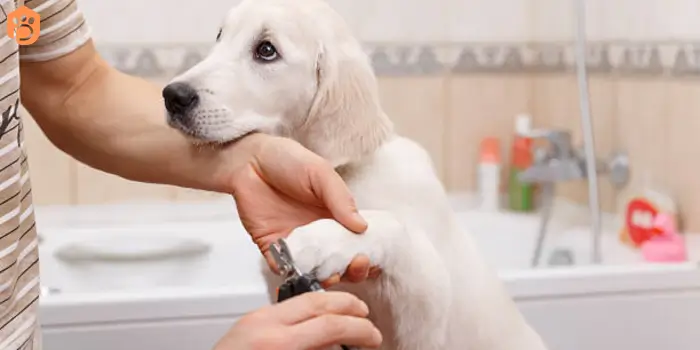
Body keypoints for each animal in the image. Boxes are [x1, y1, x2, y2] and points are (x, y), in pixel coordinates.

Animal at [164, 0, 548, 348]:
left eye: (266, 50)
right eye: (220, 36)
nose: (172, 96)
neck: (347, 172)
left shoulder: (430, 298)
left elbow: (393, 226)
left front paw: (320, 241)